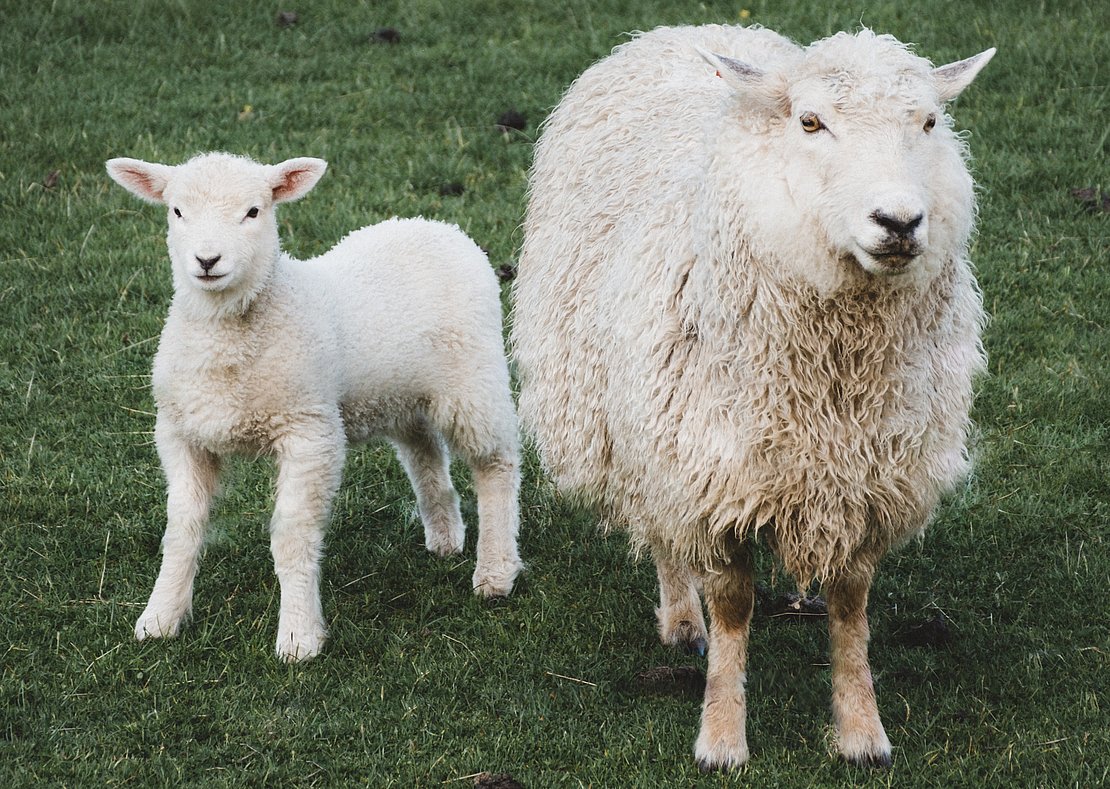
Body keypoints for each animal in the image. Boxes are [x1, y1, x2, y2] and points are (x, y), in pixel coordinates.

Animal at [106, 150, 521, 661]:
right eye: (177, 211)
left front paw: (298, 636)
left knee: (496, 464)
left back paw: (496, 571)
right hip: (401, 393)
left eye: (254, 211)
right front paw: (160, 617)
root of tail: (437, 226)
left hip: (473, 382)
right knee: (424, 451)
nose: (207, 260)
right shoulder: (181, 433)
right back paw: (444, 535)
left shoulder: (308, 432)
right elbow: (181, 530)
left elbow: (292, 536)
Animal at [512, 24, 999, 772]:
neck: (832, 375)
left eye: (928, 122)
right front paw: (721, 736)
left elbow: (852, 608)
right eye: (810, 122)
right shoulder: (712, 477)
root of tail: (686, 30)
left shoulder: (868, 478)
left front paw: (862, 732)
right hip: (646, 433)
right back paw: (682, 619)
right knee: (663, 536)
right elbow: (733, 607)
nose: (899, 221)